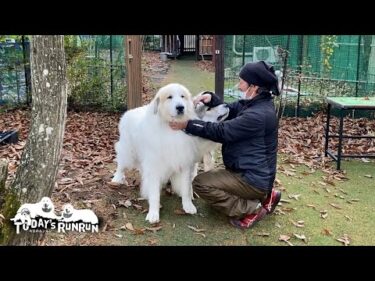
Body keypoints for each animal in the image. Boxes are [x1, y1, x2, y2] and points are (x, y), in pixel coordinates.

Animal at [111, 83, 229, 223]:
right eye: (169, 97)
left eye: (182, 96)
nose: (227, 105)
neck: (172, 130)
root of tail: (129, 112)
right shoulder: (155, 166)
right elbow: (154, 193)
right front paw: (153, 213)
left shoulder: (187, 161)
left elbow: (186, 186)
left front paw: (188, 205)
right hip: (128, 152)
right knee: (121, 164)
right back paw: (117, 178)